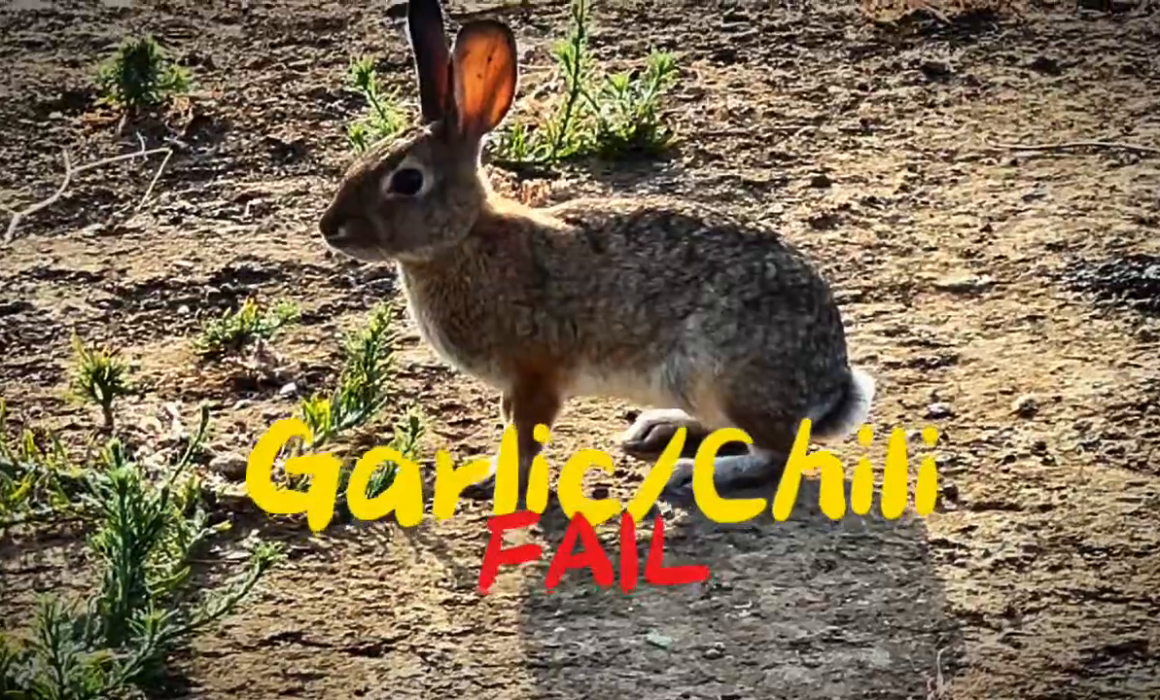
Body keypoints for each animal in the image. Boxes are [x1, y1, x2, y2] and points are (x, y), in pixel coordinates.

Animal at [318, 0, 876, 507]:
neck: (463, 239)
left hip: (724, 376)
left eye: (407, 181)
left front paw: (493, 482)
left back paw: (693, 474)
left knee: (776, 453)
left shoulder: (536, 374)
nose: (330, 229)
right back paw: (660, 429)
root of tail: (830, 386)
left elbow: (525, 435)